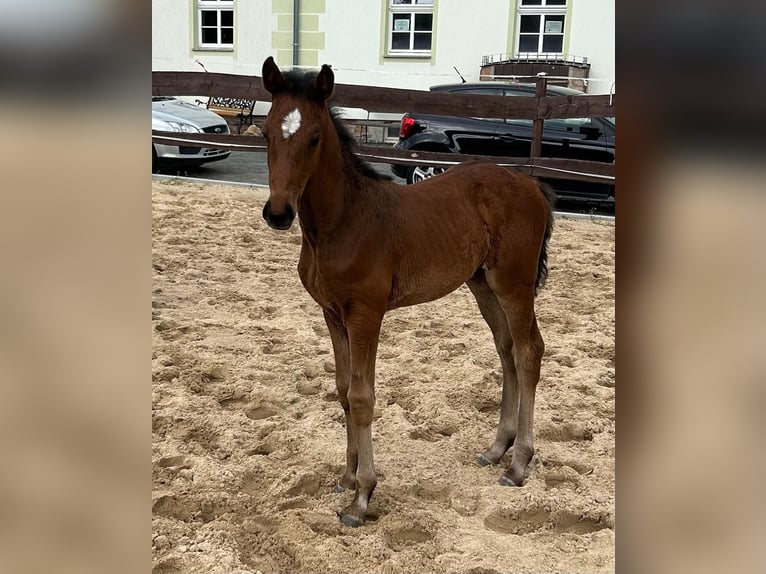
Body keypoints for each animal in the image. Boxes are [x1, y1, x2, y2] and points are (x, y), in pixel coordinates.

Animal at [260, 56, 556, 528]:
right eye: (267, 132)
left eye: (315, 137)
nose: (278, 213)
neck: (344, 221)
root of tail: (532, 186)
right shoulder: (332, 313)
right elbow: (343, 391)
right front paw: (346, 477)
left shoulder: (366, 313)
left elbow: (362, 396)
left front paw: (362, 496)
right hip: (482, 284)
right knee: (507, 349)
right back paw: (497, 448)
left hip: (514, 282)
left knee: (529, 351)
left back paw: (519, 463)